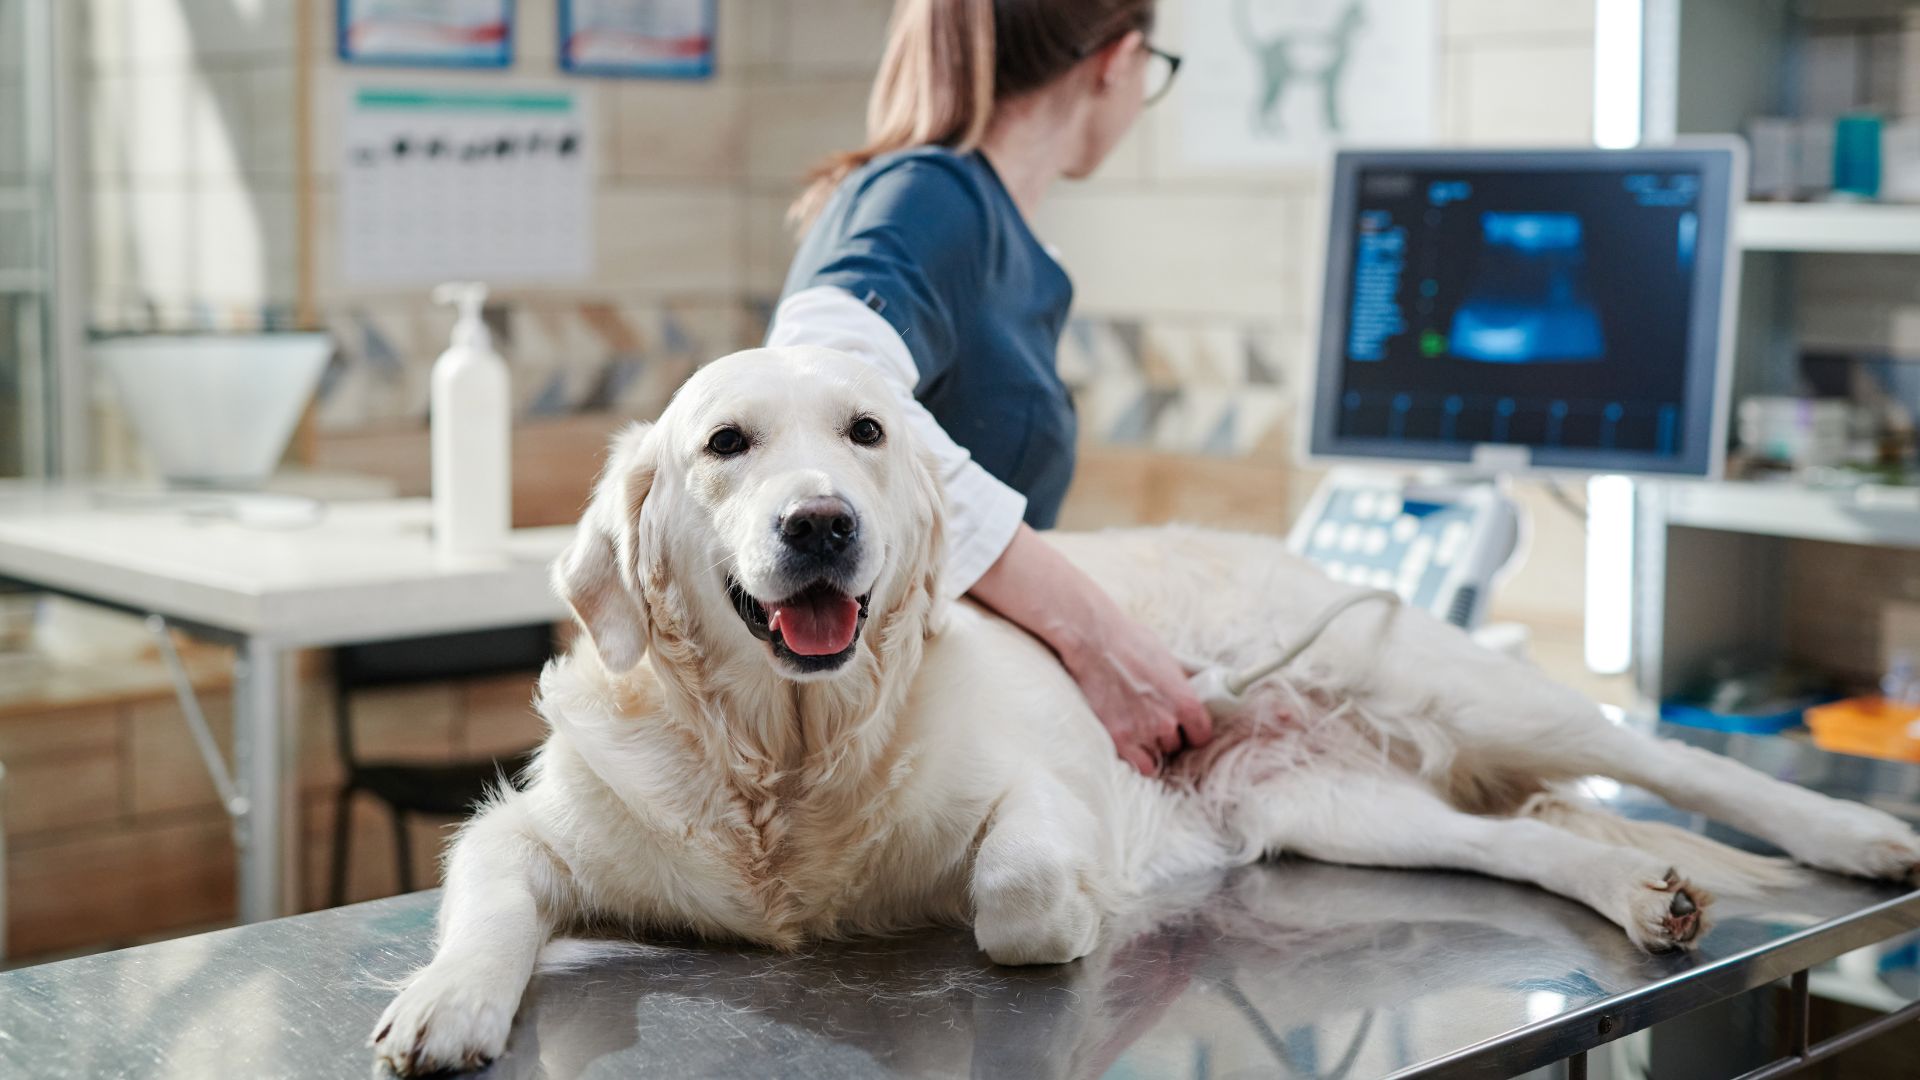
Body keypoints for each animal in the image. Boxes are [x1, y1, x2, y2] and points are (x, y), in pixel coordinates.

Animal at [374, 349, 1920, 1068]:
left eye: (867, 434)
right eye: (725, 445)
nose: (821, 527)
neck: (786, 754)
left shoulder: (1042, 795)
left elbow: (1015, 892)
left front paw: (1058, 913)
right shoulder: (528, 829)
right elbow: (492, 896)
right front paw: (445, 1002)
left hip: (1448, 683)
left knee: (1650, 753)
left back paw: (1857, 837)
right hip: (1336, 809)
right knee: (1532, 842)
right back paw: (1643, 894)